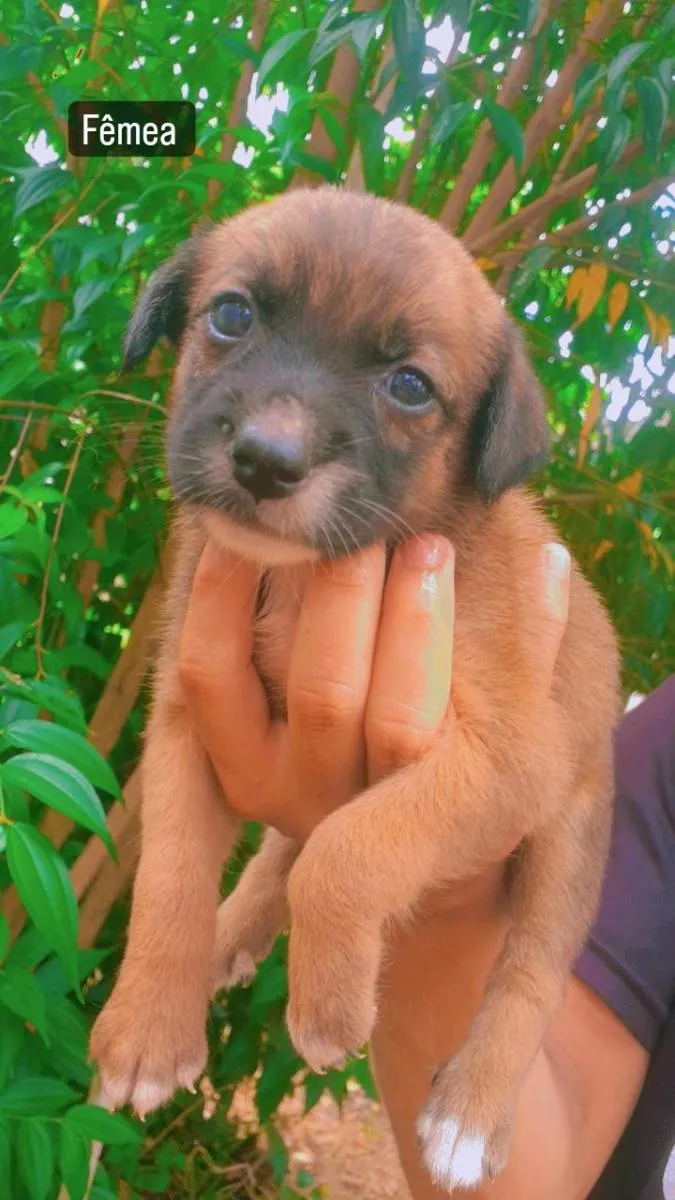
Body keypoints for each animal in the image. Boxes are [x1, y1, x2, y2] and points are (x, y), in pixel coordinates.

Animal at [90, 187, 619, 1190]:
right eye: (232, 315)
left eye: (409, 385)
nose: (266, 459)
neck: (300, 582)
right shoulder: (183, 720)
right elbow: (170, 879)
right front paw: (145, 1031)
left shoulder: (505, 761)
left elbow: (350, 850)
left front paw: (329, 1004)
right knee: (280, 849)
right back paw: (232, 931)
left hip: (570, 835)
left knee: (528, 972)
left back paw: (471, 1111)